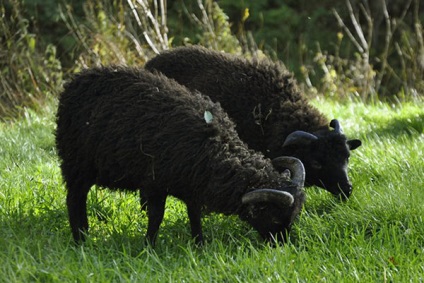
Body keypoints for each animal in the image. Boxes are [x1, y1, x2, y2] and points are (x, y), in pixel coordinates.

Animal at [55, 66, 304, 246]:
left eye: (294, 217)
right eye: (273, 217)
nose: (279, 246)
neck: (216, 149)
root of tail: (74, 82)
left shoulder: (191, 184)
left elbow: (194, 214)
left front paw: (199, 244)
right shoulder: (154, 184)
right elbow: (157, 216)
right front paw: (149, 247)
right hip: (76, 163)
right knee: (75, 200)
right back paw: (80, 239)